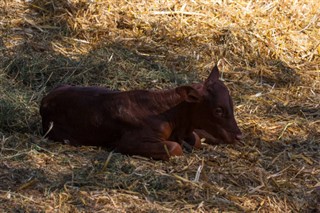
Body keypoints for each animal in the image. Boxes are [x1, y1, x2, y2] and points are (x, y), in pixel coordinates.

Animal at [40, 65, 241, 160]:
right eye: (218, 110)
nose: (239, 136)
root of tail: (46, 99)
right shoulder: (128, 142)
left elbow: (196, 140)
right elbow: (175, 148)